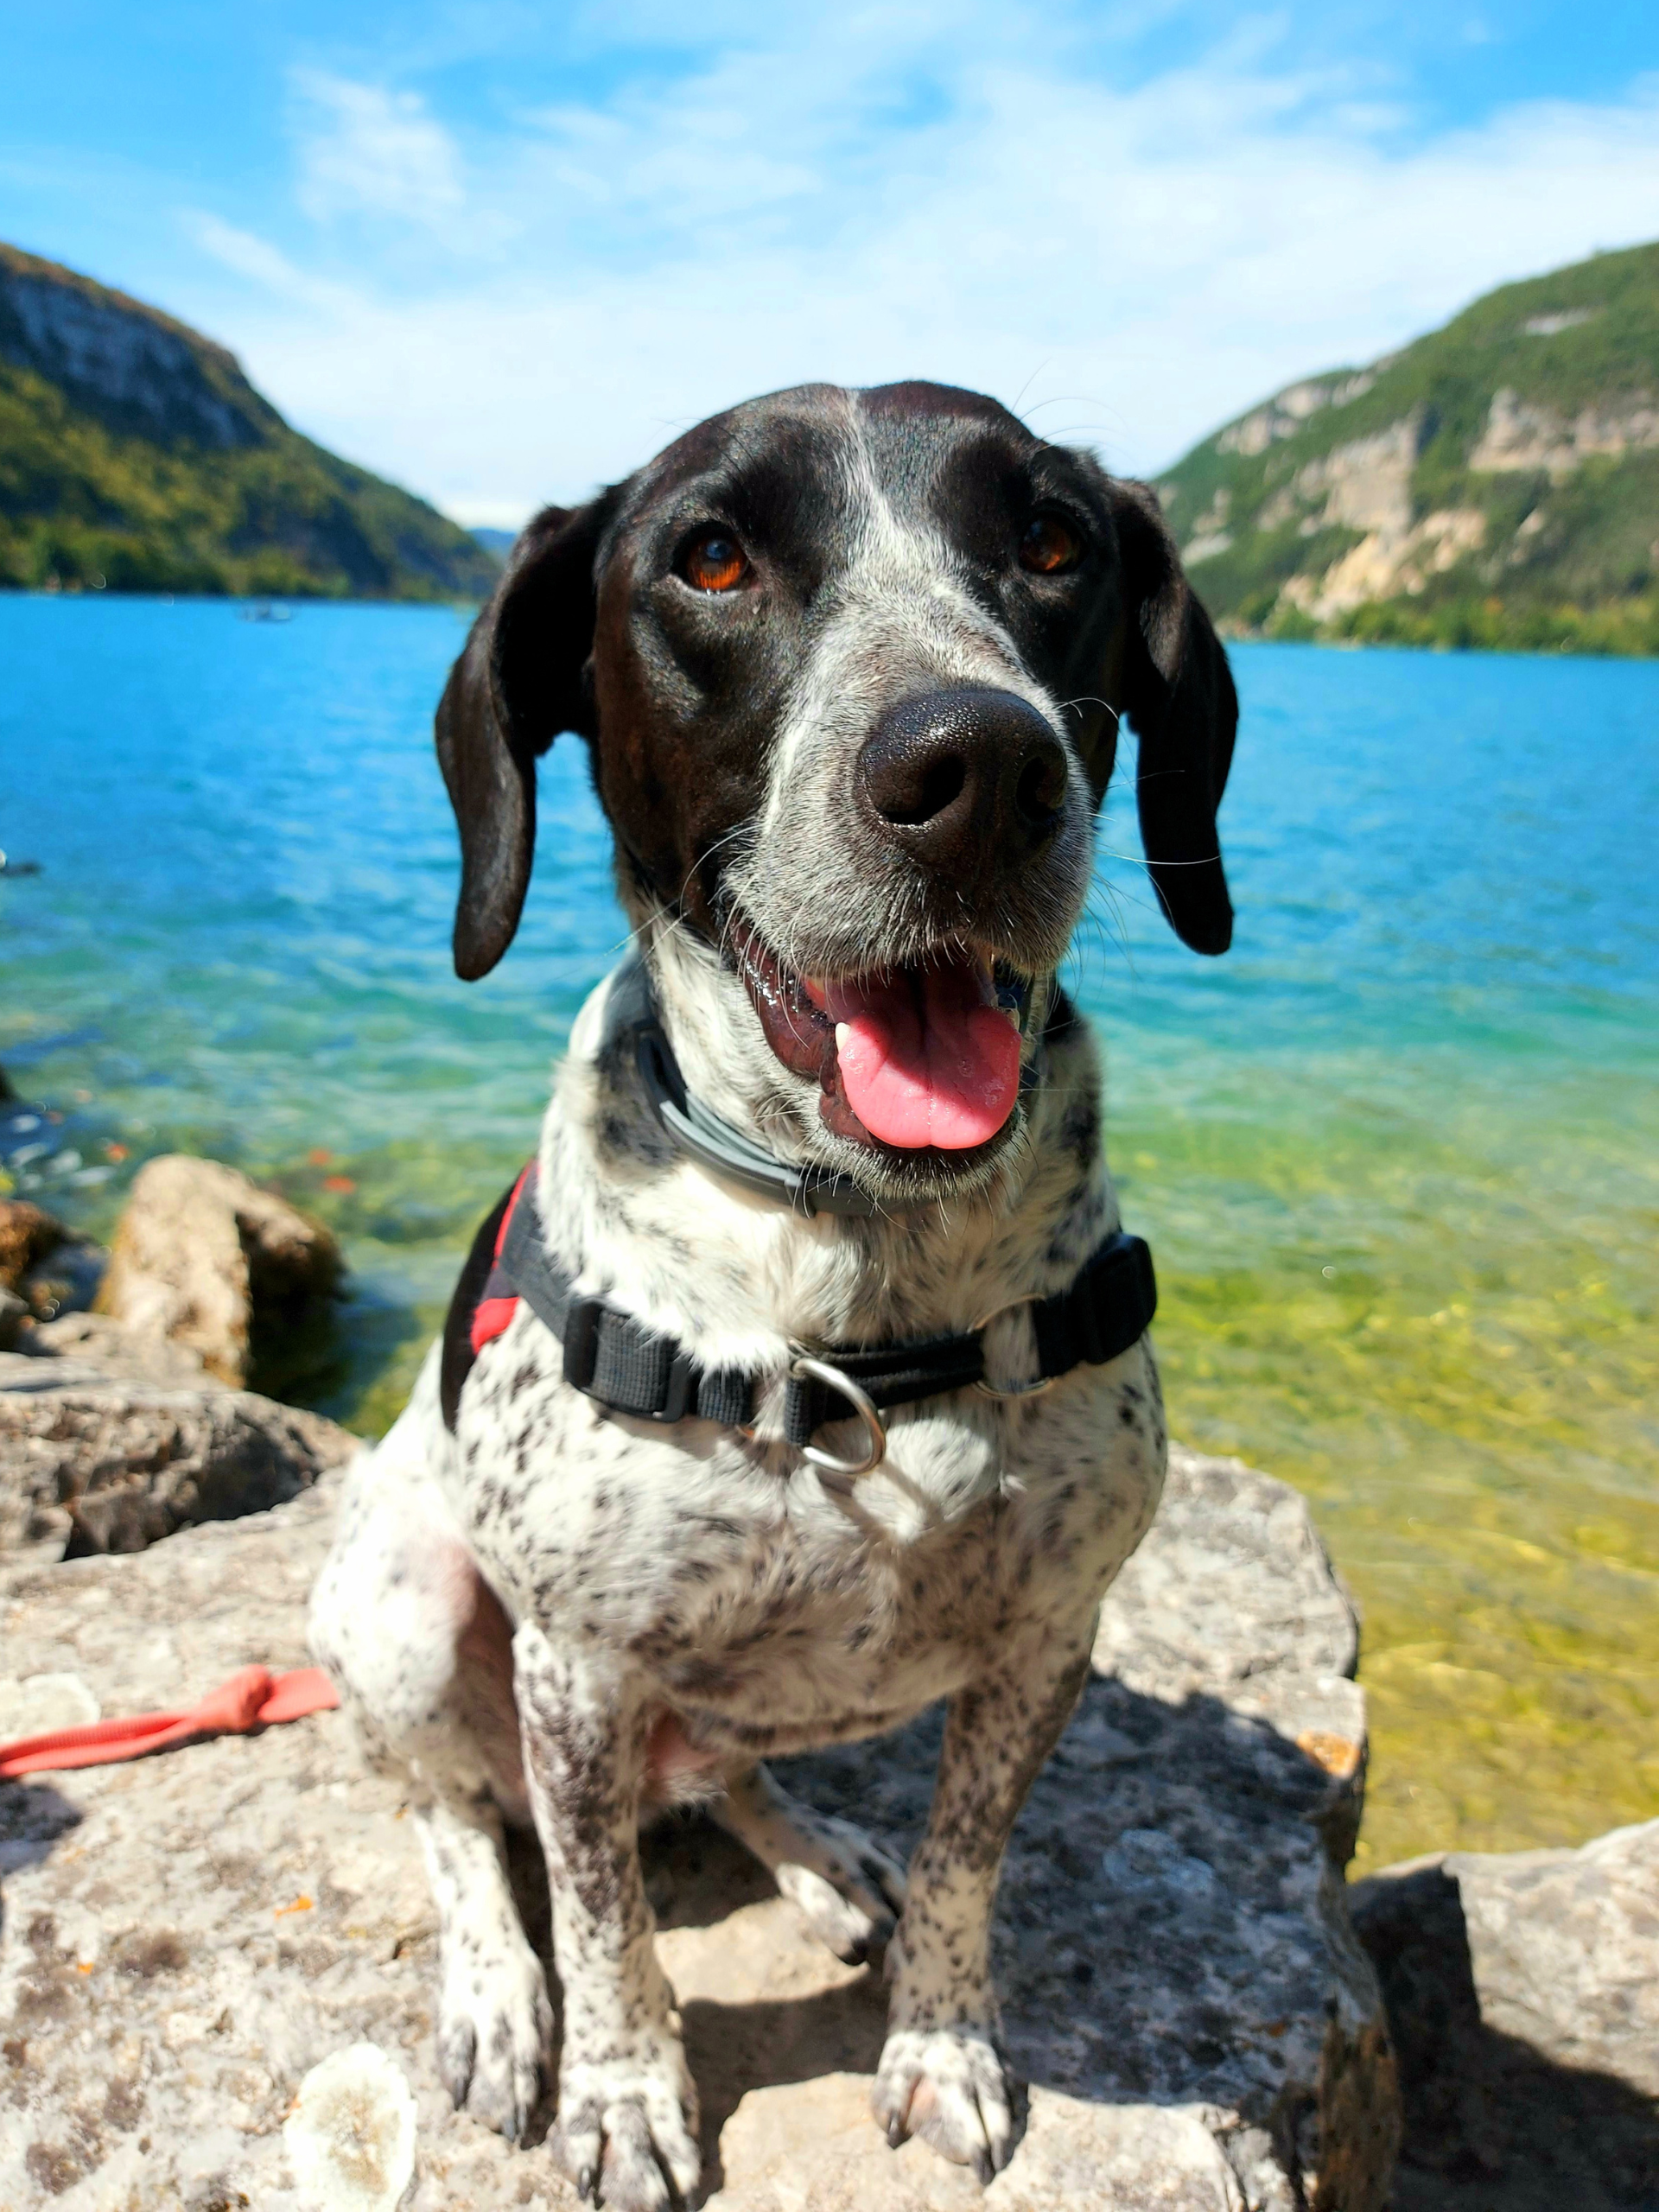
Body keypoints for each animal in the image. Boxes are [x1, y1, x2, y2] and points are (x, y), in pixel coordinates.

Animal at [311, 372, 1238, 2202]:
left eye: (1052, 543)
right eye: (714, 559)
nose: (978, 763)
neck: (860, 1300)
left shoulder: (1051, 1633)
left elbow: (967, 1866)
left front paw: (942, 2044)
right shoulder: (578, 1669)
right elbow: (601, 1915)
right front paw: (621, 2093)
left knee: (726, 1778)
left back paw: (815, 1855)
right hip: (400, 1606)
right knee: (458, 1823)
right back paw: (496, 1995)